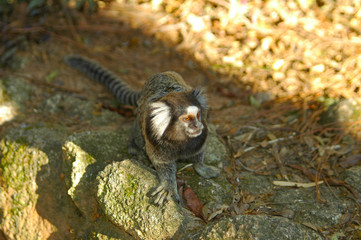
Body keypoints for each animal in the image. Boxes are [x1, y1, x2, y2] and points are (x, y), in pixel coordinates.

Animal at [64, 55, 219, 204]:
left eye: (198, 115)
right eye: (187, 119)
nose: (198, 126)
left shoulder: (200, 137)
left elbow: (198, 154)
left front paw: (201, 167)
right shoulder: (156, 138)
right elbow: (162, 163)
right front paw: (169, 185)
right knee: (139, 135)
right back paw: (134, 147)